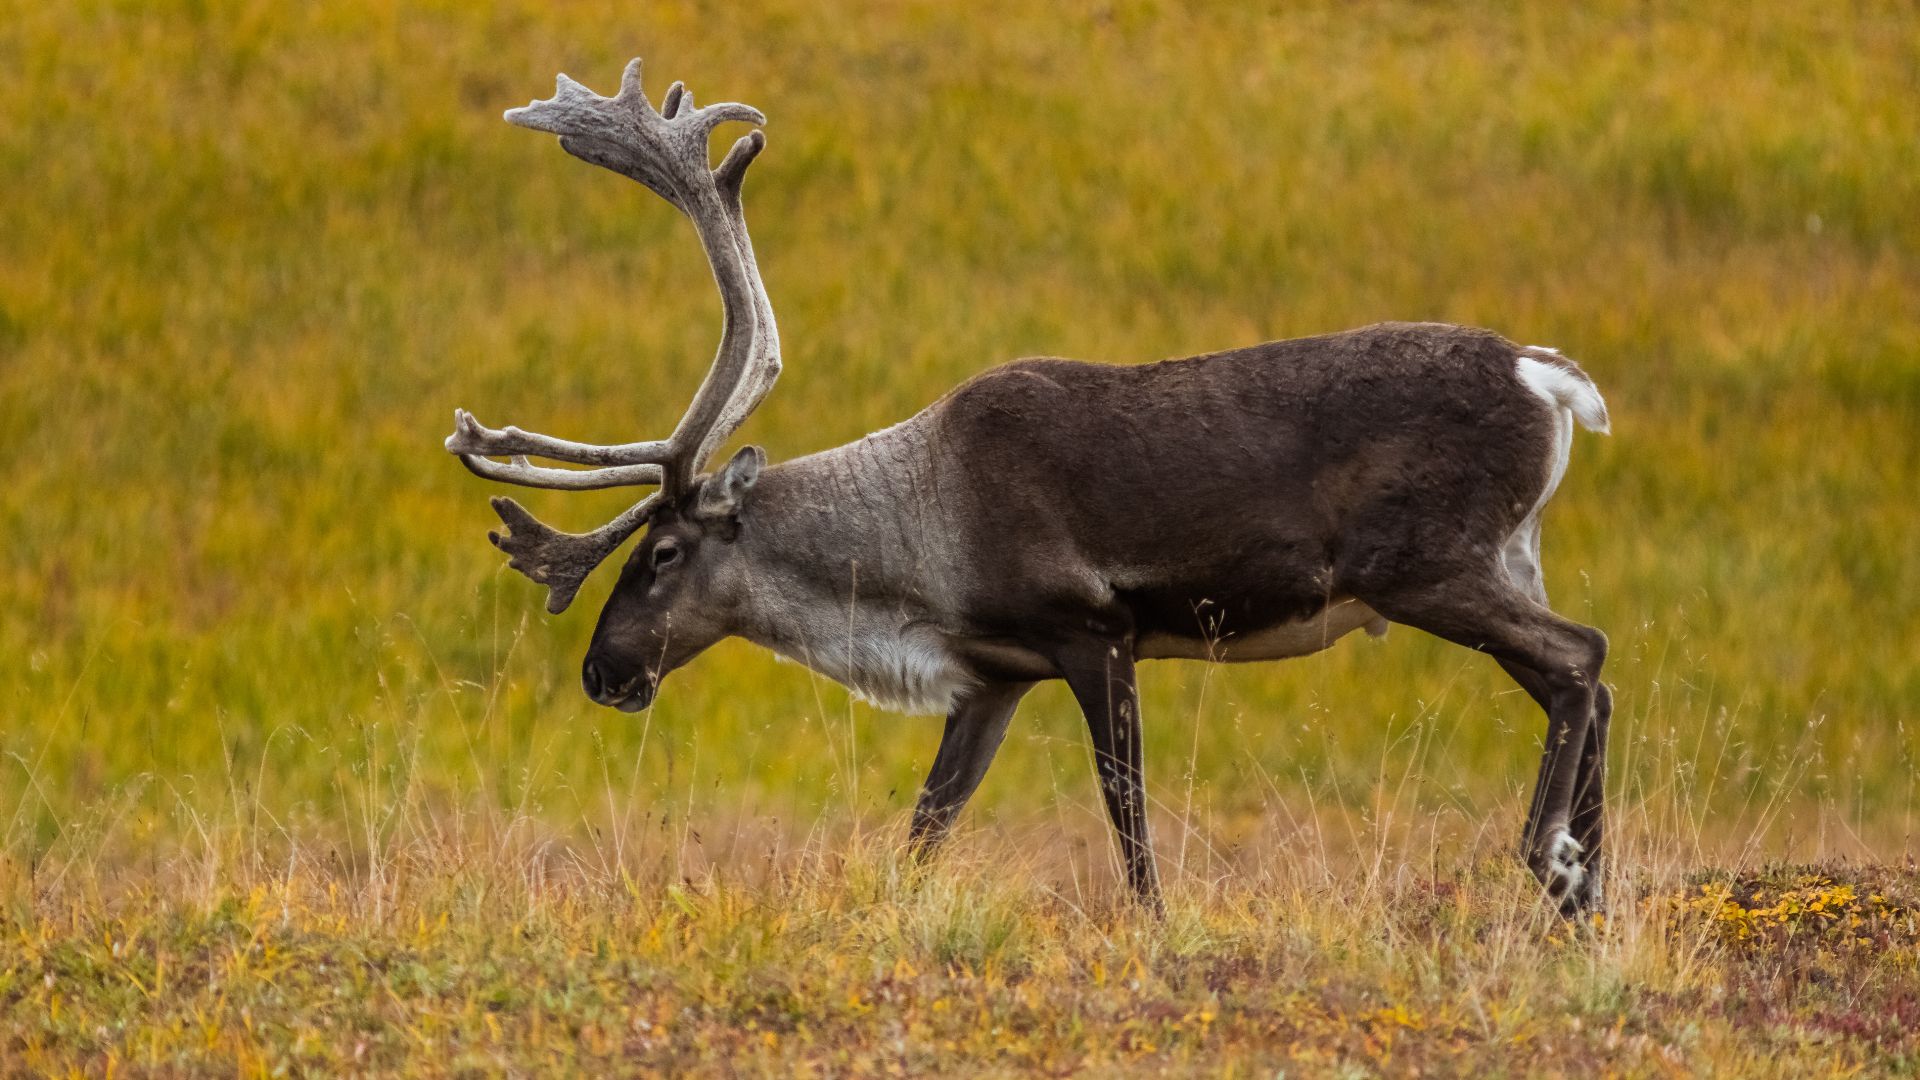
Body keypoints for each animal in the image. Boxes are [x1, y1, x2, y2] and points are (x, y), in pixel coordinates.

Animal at [445, 60, 1614, 916]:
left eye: (663, 553)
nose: (602, 672)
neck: (915, 548)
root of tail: (1548, 377)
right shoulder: (992, 680)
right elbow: (925, 830)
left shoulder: (1096, 634)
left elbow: (1128, 822)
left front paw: (1154, 930)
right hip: (1503, 559)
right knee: (1586, 680)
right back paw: (1586, 892)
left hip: (1427, 566)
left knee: (1582, 656)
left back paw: (1550, 862)